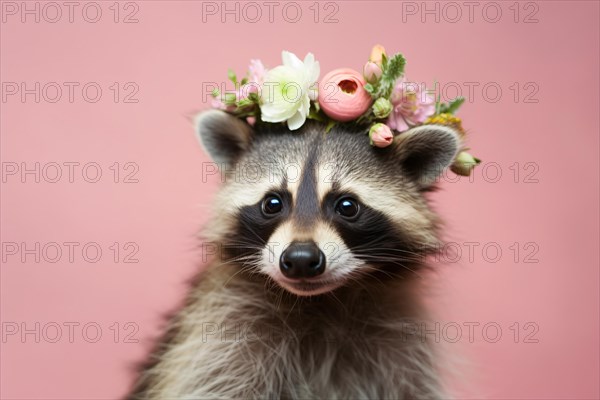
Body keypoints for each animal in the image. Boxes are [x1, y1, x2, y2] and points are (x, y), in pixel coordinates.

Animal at [129, 109, 462, 400]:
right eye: (272, 203)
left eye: (347, 206)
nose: (301, 259)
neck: (320, 302)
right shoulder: (218, 340)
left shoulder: (401, 347)